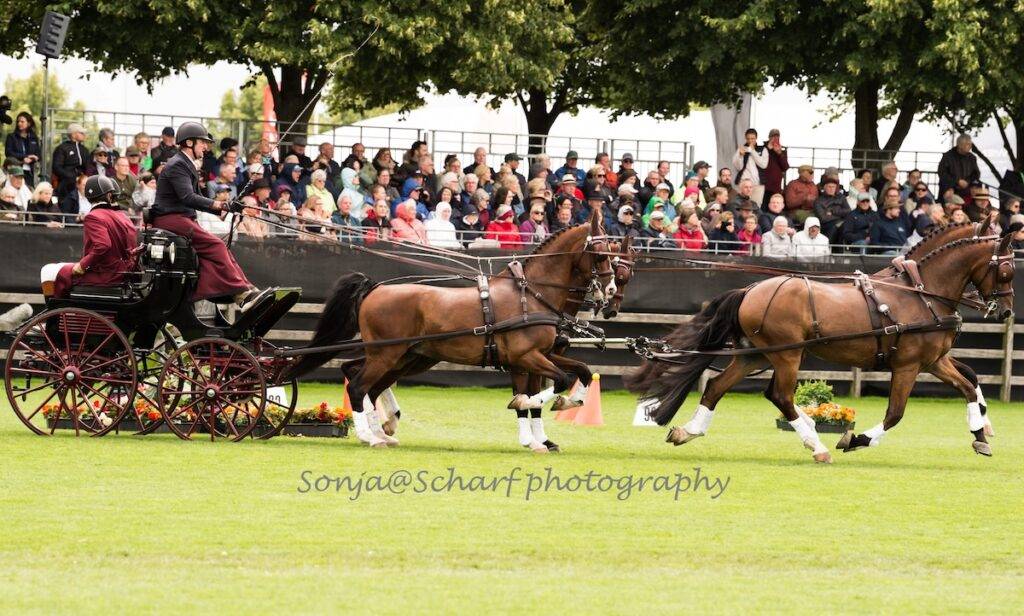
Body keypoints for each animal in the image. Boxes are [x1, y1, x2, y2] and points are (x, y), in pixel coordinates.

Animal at [283, 211, 616, 449]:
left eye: (614, 253)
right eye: (601, 254)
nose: (610, 292)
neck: (531, 294)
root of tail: (375, 288)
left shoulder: (540, 355)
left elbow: (581, 372)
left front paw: (552, 421)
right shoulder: (525, 357)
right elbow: (554, 384)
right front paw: (530, 416)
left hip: (405, 356)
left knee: (366, 384)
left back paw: (384, 429)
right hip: (386, 354)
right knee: (356, 386)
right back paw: (370, 436)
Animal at [625, 221, 1018, 463]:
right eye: (1007, 269)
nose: (1007, 311)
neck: (919, 292)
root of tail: (750, 289)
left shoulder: (934, 360)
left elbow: (968, 383)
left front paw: (981, 433)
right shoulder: (907, 366)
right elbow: (895, 414)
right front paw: (855, 440)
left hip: (756, 354)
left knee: (717, 386)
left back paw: (689, 431)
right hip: (787, 355)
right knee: (780, 396)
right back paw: (816, 445)